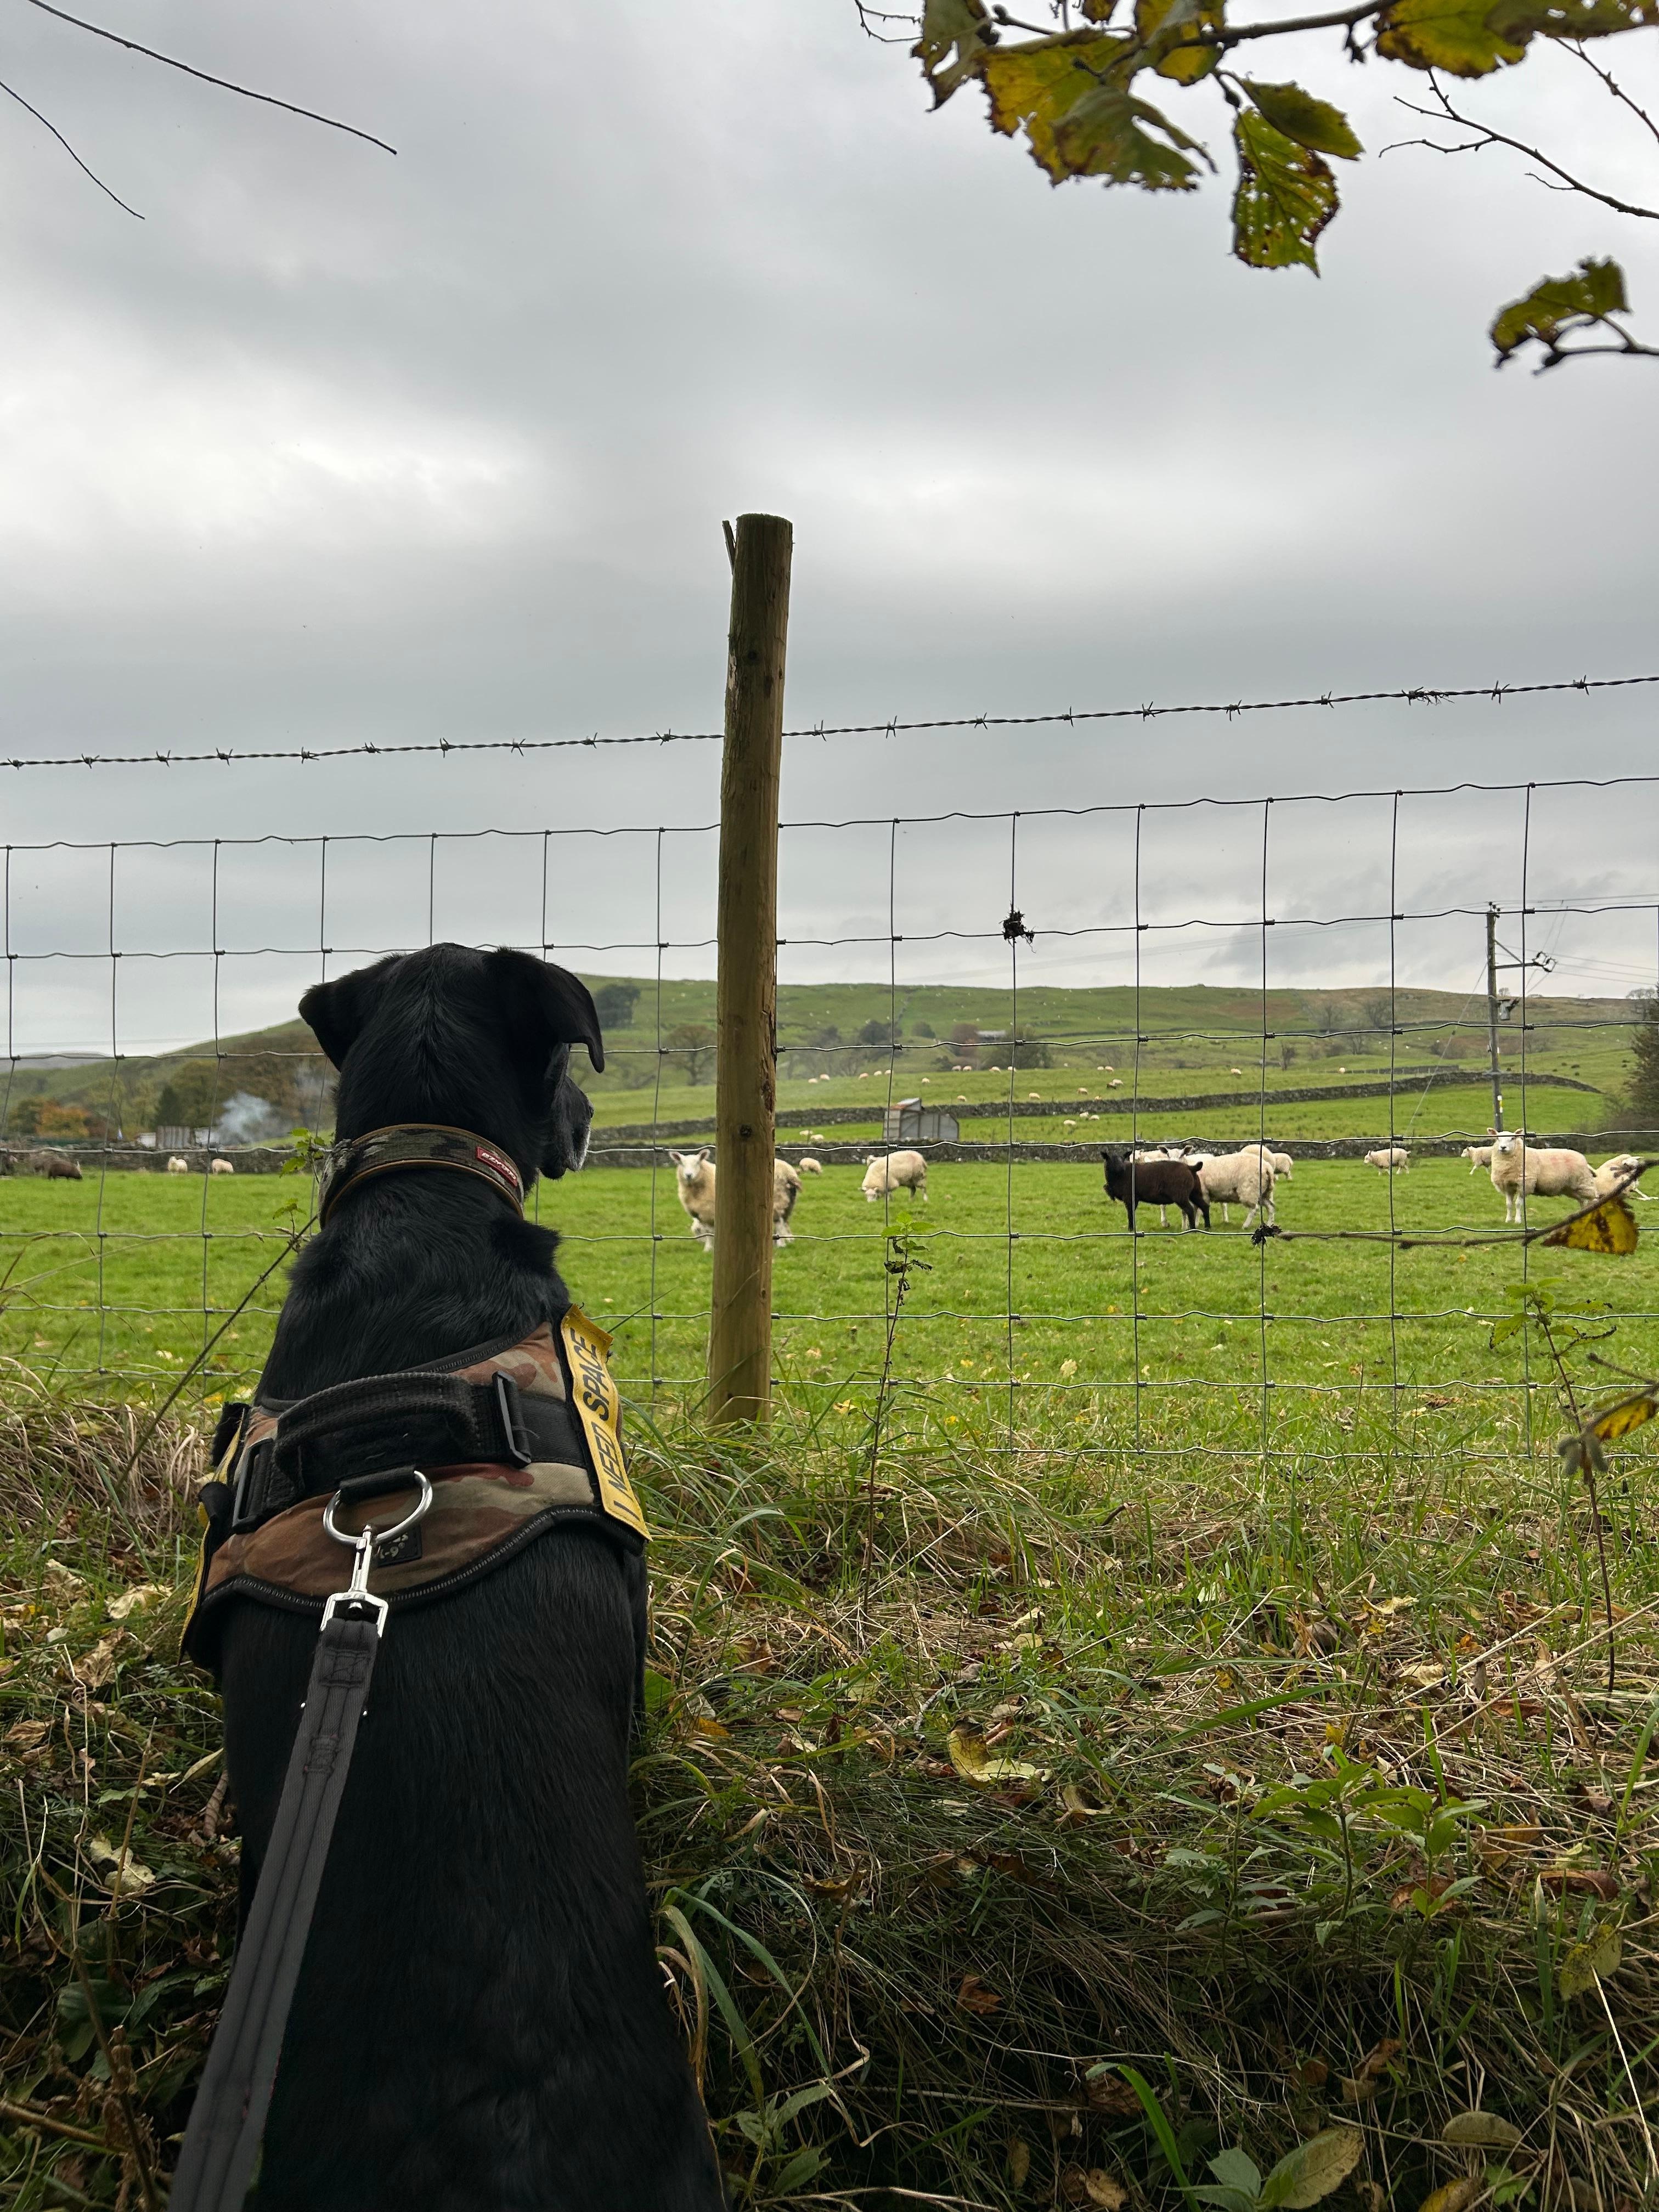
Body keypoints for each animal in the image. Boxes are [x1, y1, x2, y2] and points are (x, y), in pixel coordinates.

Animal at [1102, 1146, 1208, 1231]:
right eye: (1110, 1159)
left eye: (1123, 1159)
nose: (1121, 1168)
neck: (1120, 1176)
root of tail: (1190, 1168)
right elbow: (1132, 1213)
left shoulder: (1129, 1197)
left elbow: (1130, 1214)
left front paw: (1130, 1230)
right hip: (1195, 1192)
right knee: (1204, 1206)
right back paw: (1208, 1227)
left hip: (1181, 1195)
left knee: (1190, 1210)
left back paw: (1193, 1229)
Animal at [1193, 1149, 1275, 1229]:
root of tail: (1267, 1167)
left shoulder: (1204, 1193)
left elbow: (1199, 1211)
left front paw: (1197, 1225)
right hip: (1264, 1193)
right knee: (1270, 1207)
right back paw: (1269, 1224)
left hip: (1250, 1190)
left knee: (1255, 1208)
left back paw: (1245, 1225)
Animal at [1488, 1132, 1597, 1224]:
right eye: (1497, 1138)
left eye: (1512, 1138)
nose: (1503, 1148)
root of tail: (1584, 1160)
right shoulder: (1508, 1187)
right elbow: (1509, 1204)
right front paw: (1508, 1220)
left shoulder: (1525, 1184)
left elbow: (1518, 1204)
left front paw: (1518, 1221)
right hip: (1571, 1189)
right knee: (1583, 1201)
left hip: (1583, 1183)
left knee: (1594, 1199)